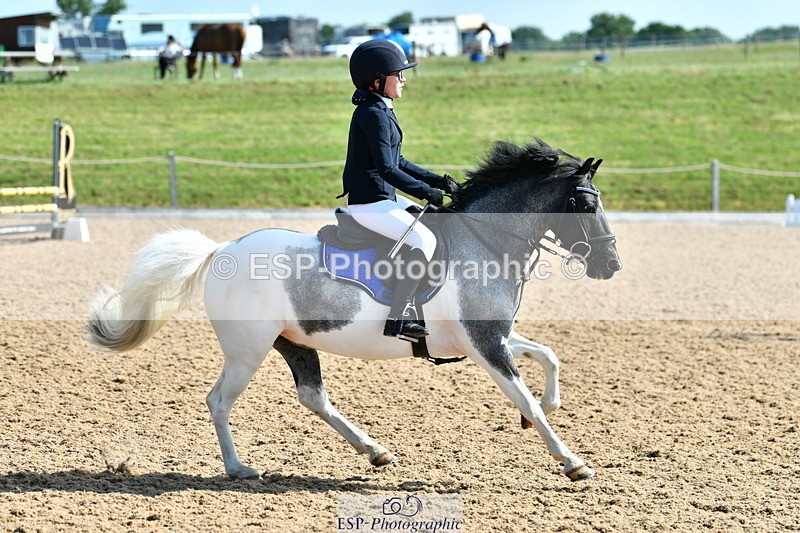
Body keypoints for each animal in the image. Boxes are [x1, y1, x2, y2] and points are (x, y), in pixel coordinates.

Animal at [86, 138, 622, 482]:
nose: (611, 265)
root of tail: (222, 249)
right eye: (584, 203)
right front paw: (572, 461)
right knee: (220, 401)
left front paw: (548, 408)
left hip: (293, 341)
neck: (485, 239)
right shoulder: (486, 343)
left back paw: (375, 451)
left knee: (313, 397)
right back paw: (239, 469)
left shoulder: (489, 335)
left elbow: (549, 356)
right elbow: (523, 395)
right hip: (247, 349)